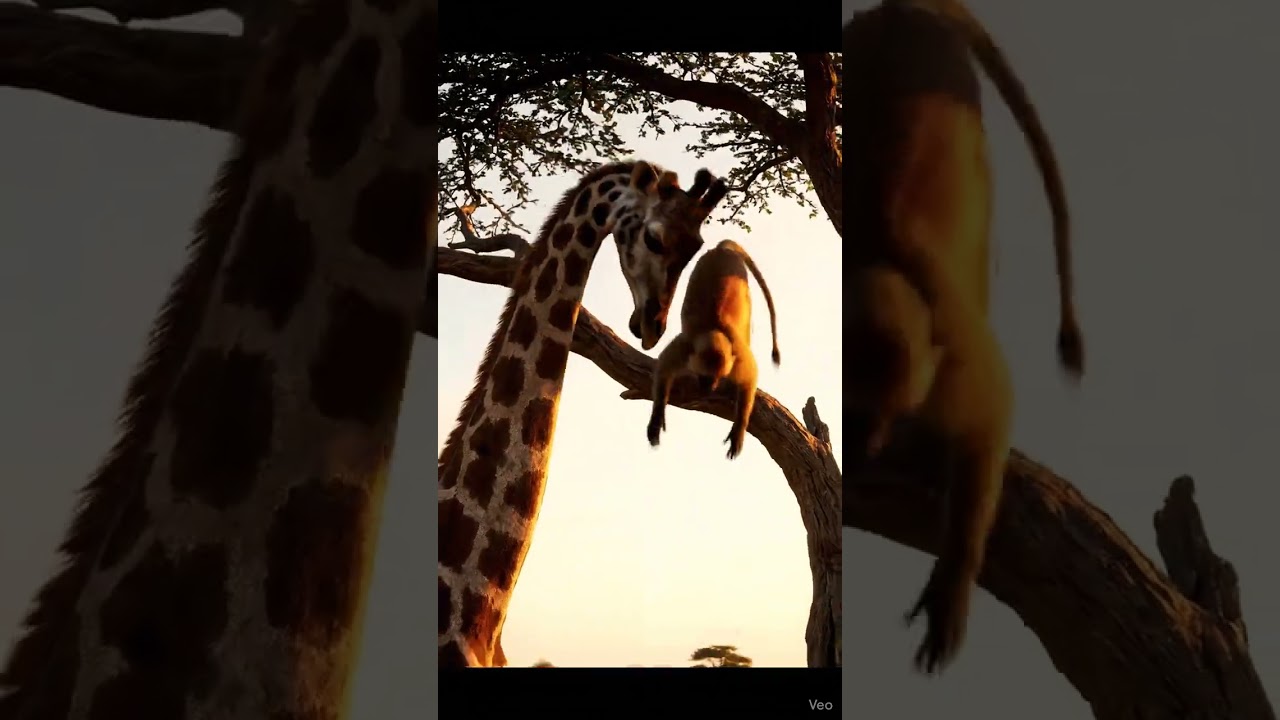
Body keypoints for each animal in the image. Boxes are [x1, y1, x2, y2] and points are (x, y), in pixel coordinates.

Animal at [646, 239, 780, 460]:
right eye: (705, 377)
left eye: (717, 378)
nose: (709, 389)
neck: (713, 330)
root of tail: (721, 249)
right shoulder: (685, 346)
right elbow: (664, 367)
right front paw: (657, 417)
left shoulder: (738, 355)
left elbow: (750, 377)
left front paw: (739, 428)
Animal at [843, 0, 1085, 675]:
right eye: (854, 417)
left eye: (883, 416)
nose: (865, 451)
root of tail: (899, 9)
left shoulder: (954, 345)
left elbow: (990, 418)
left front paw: (951, 581)